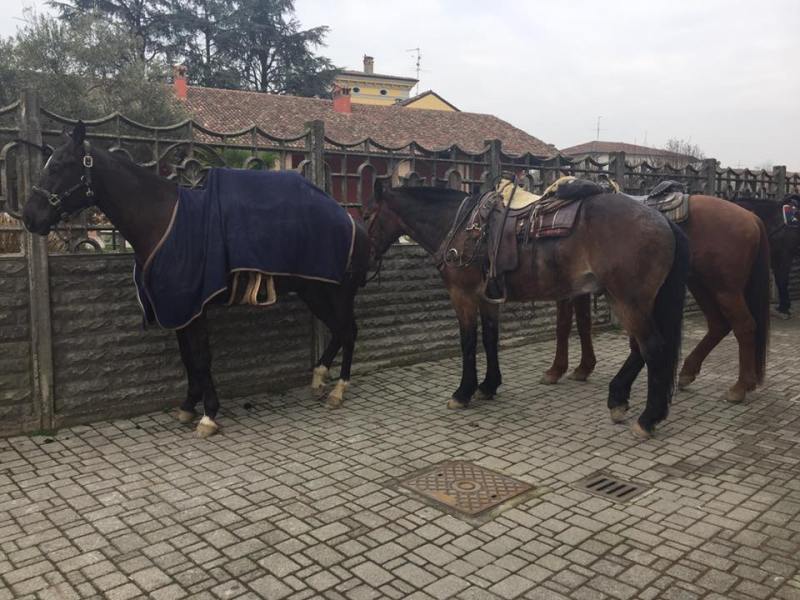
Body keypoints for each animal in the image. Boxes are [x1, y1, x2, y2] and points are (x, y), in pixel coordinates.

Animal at [22, 122, 371, 437]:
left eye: (61, 166)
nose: (29, 217)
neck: (162, 220)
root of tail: (350, 220)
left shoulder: (194, 306)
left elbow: (201, 358)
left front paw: (209, 415)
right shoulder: (178, 308)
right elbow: (188, 359)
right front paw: (189, 406)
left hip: (336, 292)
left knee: (348, 331)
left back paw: (338, 390)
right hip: (315, 291)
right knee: (339, 331)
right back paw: (319, 379)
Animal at [365, 180, 691, 439]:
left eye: (368, 215)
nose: (366, 258)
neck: (460, 227)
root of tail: (663, 221)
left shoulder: (463, 295)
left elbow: (468, 342)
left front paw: (463, 392)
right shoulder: (487, 298)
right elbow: (490, 339)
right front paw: (489, 385)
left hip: (629, 301)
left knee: (652, 348)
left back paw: (647, 419)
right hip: (627, 300)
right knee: (641, 350)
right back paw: (619, 398)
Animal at [543, 194, 771, 404]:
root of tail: (751, 216)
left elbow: (563, 326)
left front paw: (556, 370)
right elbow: (583, 324)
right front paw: (584, 367)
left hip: (726, 290)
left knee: (744, 326)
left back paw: (740, 387)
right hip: (701, 284)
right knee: (718, 325)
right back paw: (688, 372)